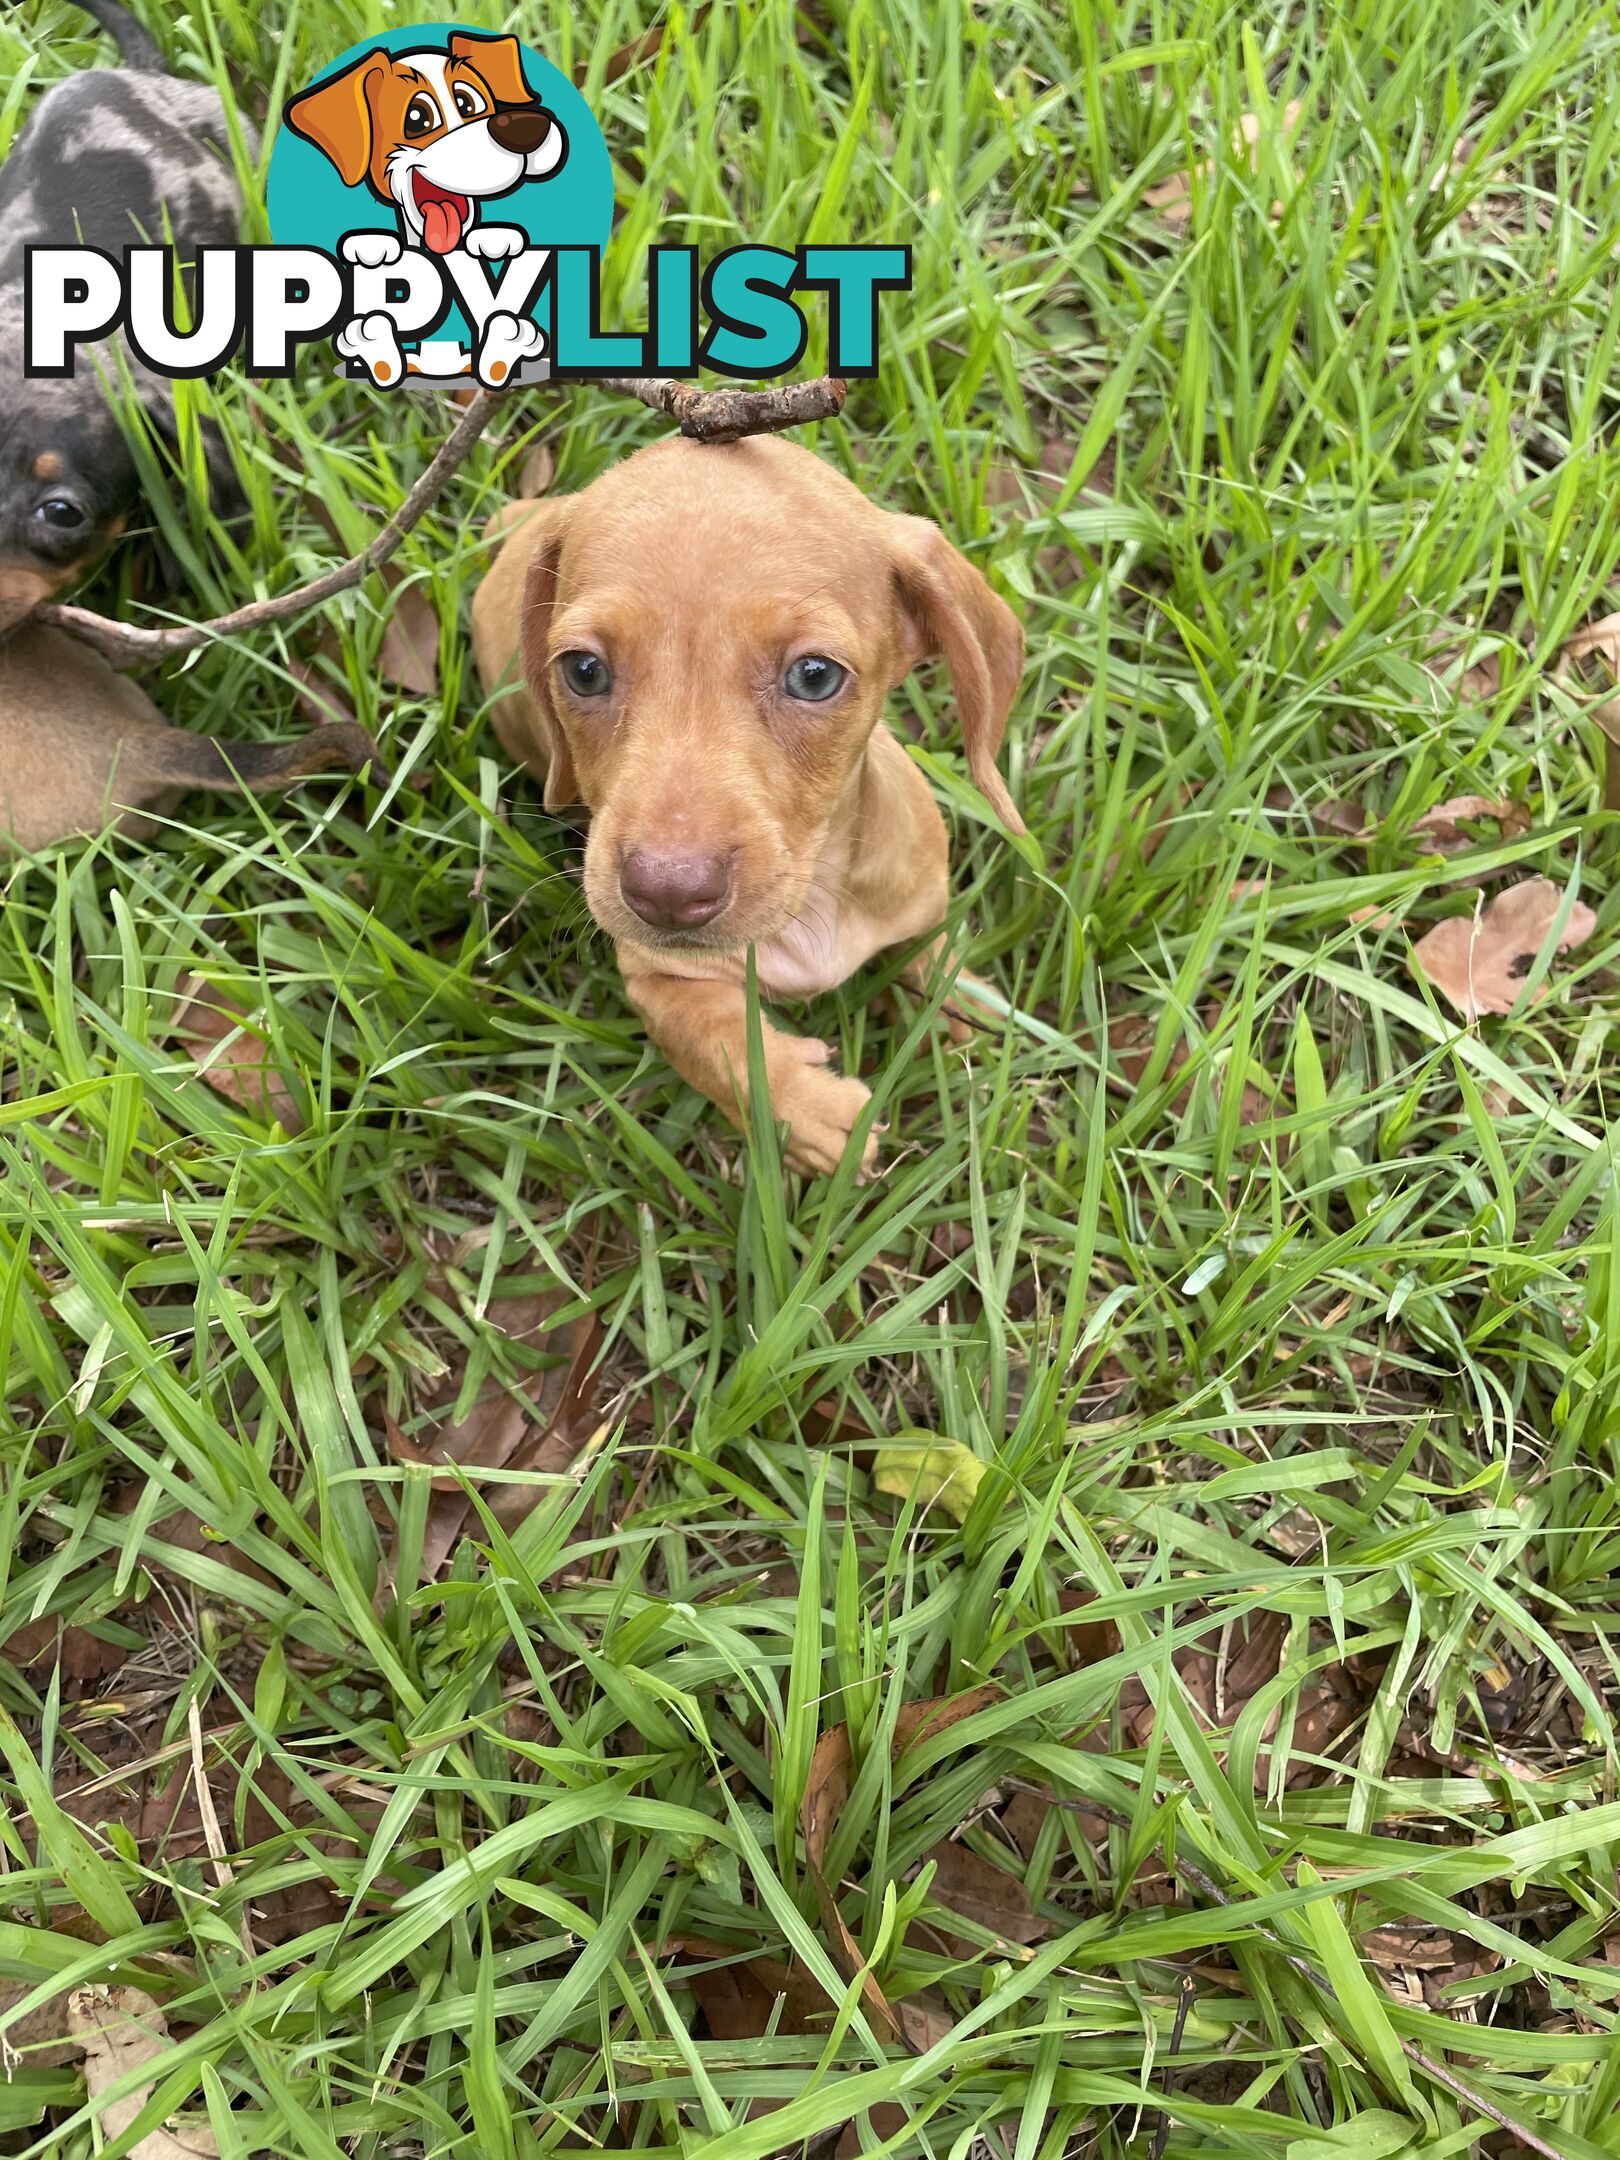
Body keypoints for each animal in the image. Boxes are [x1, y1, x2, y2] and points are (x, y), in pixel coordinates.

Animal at [473, 442, 1028, 1183]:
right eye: (584, 670)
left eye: (815, 676)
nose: (667, 895)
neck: (814, 900)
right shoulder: (654, 976)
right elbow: (712, 1041)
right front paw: (808, 1113)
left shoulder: (919, 896)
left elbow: (928, 946)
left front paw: (960, 1003)